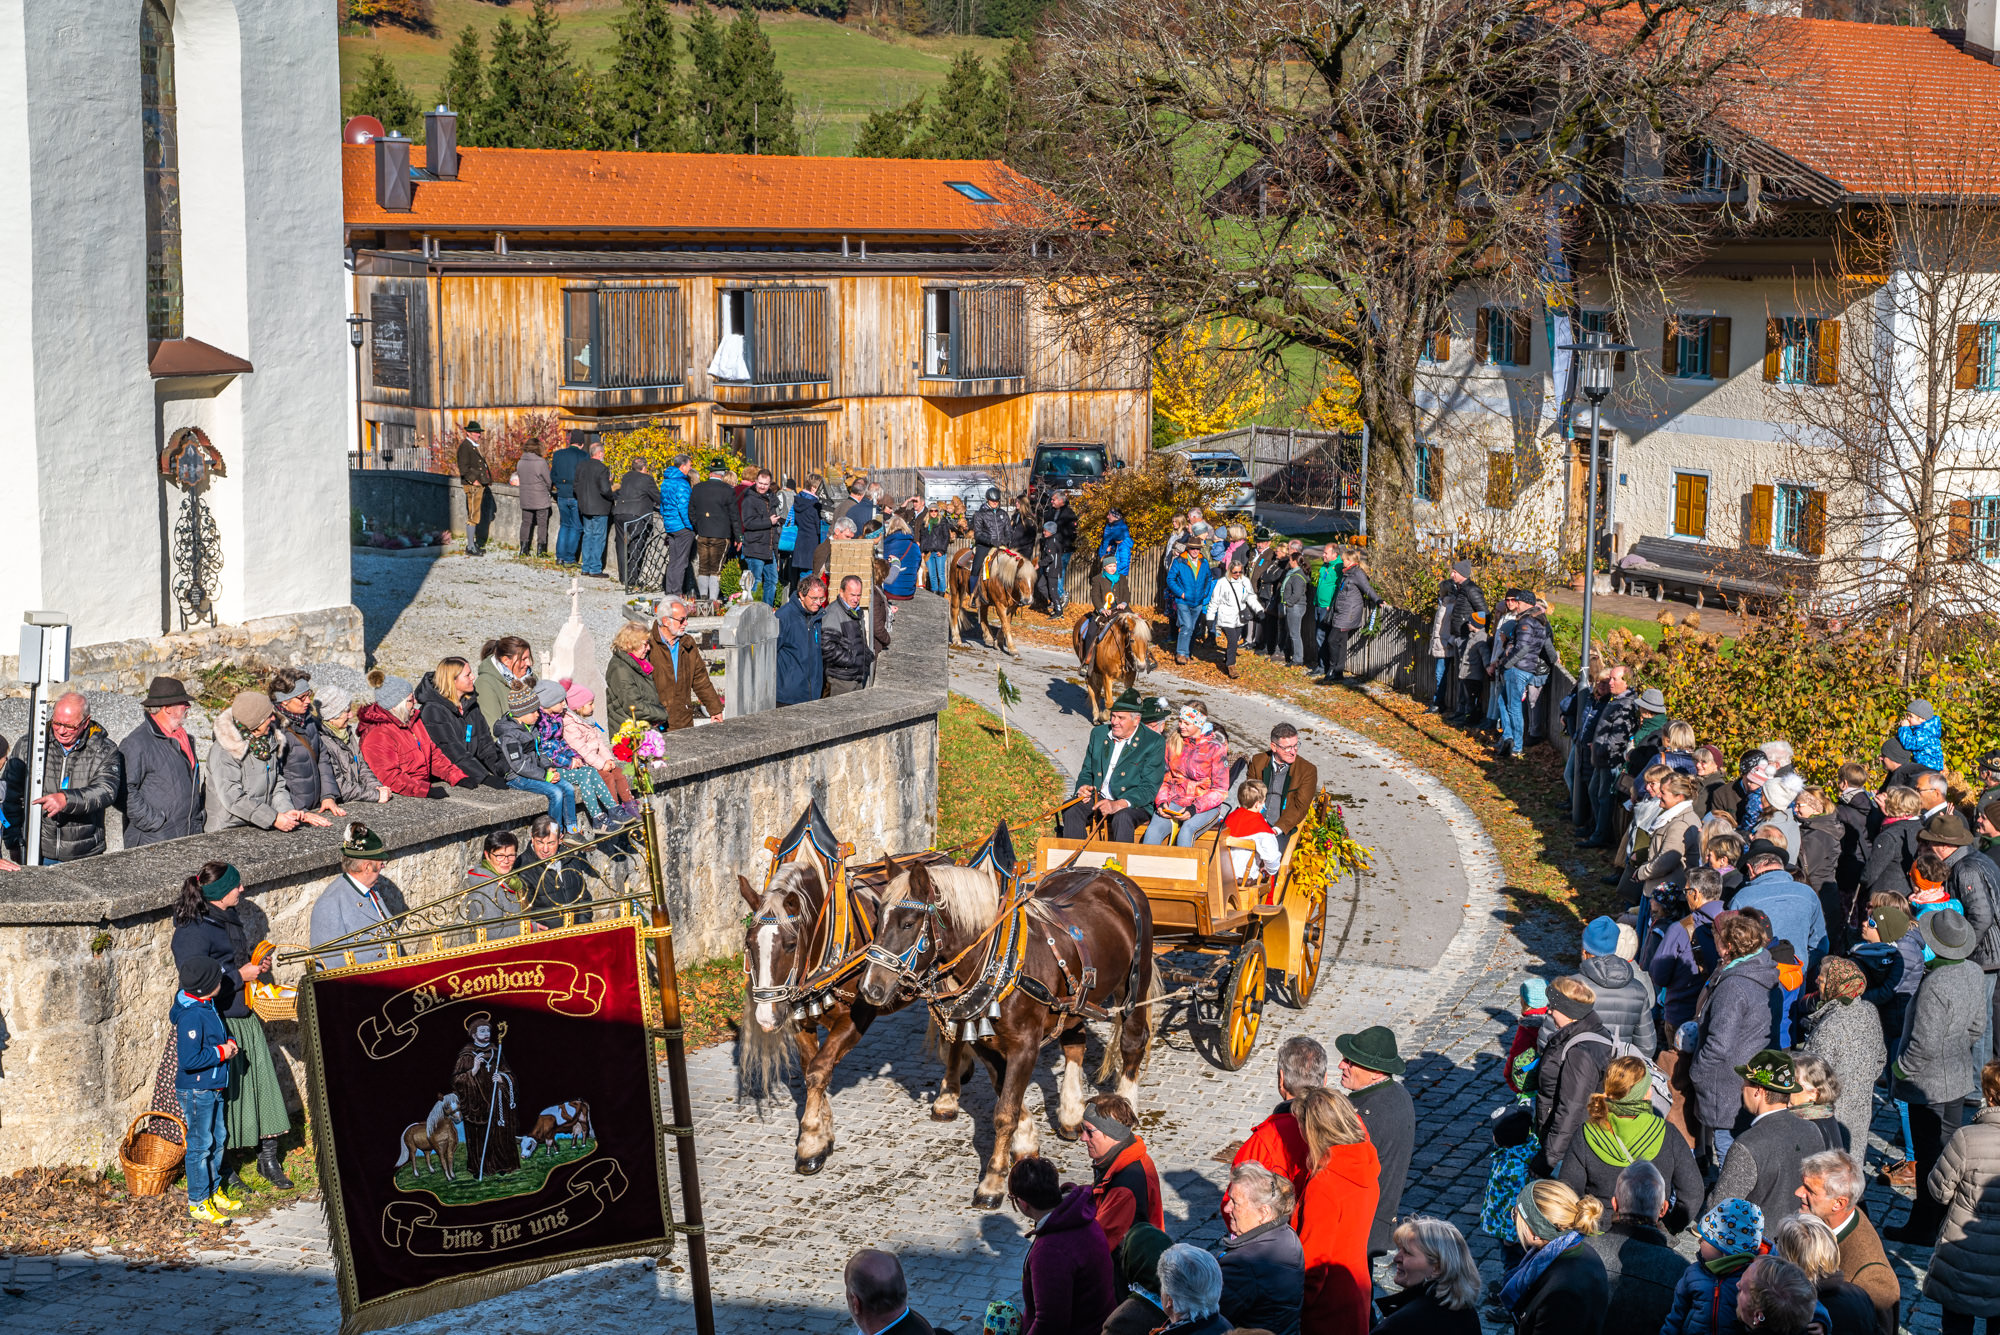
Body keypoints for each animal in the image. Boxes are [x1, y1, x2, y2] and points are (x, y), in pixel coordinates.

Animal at [856, 857, 1156, 1208]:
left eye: (907, 924)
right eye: (877, 921)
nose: (870, 988)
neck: (1000, 957)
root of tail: (1109, 872)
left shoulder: (1025, 1046)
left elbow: (1005, 1112)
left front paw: (993, 1181)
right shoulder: (985, 1043)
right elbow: (1005, 1096)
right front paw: (1025, 1142)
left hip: (1135, 982)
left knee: (1132, 1043)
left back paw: (1126, 1112)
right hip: (1076, 1002)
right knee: (1074, 1043)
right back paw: (1071, 1113)